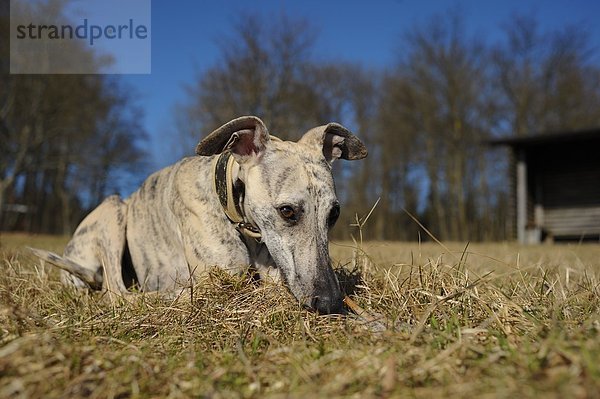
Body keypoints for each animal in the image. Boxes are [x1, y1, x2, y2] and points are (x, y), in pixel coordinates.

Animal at [30, 115, 368, 316]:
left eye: (334, 214)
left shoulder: (274, 271)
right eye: (287, 211)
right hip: (114, 210)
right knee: (117, 292)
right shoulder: (222, 278)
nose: (330, 302)